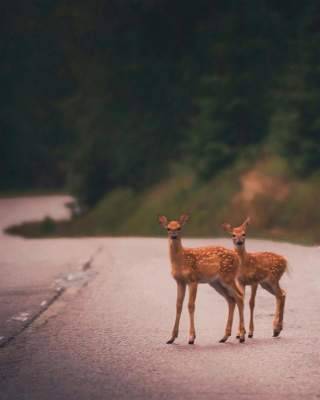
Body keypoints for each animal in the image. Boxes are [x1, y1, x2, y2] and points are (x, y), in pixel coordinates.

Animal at [158, 214, 245, 346]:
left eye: (179, 228)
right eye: (168, 228)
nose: (173, 236)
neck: (181, 260)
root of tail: (237, 257)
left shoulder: (193, 279)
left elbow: (191, 305)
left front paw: (191, 337)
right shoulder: (180, 282)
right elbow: (178, 305)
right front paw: (172, 338)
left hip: (228, 277)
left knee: (239, 297)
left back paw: (242, 336)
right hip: (216, 283)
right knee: (231, 300)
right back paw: (225, 337)